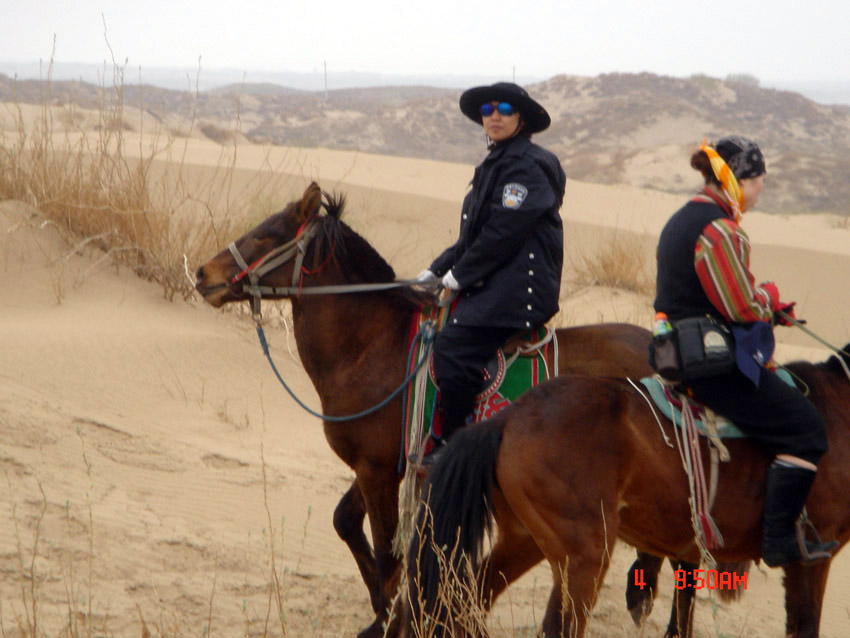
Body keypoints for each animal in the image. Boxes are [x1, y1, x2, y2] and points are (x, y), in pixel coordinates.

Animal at [197, 182, 656, 636]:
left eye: (266, 235)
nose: (204, 275)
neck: (373, 345)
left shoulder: (377, 468)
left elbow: (388, 557)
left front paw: (387, 617)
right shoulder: (387, 464)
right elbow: (346, 521)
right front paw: (382, 615)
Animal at [406, 350, 848, 638]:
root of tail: (507, 418)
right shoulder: (811, 558)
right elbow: (805, 624)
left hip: (525, 540)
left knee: (465, 602)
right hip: (584, 554)